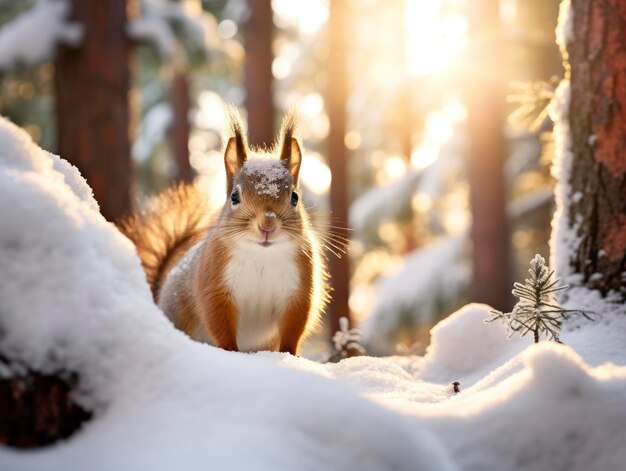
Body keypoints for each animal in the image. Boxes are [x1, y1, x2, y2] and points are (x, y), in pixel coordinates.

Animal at [119, 109, 330, 354]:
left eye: (295, 197)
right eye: (235, 196)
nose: (267, 225)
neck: (261, 255)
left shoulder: (299, 290)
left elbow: (294, 327)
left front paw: (289, 354)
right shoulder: (215, 283)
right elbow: (218, 320)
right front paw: (231, 351)